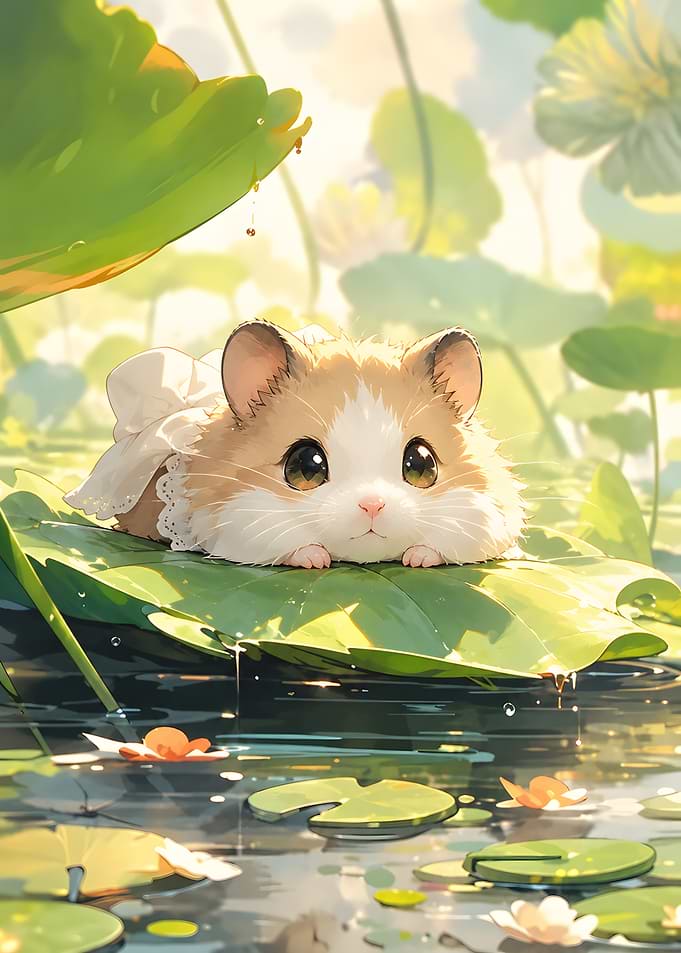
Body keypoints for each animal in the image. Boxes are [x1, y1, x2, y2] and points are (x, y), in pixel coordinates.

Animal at [68, 321, 525, 568]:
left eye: (422, 464)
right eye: (306, 466)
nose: (372, 505)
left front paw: (417, 557)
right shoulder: (236, 526)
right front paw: (315, 558)